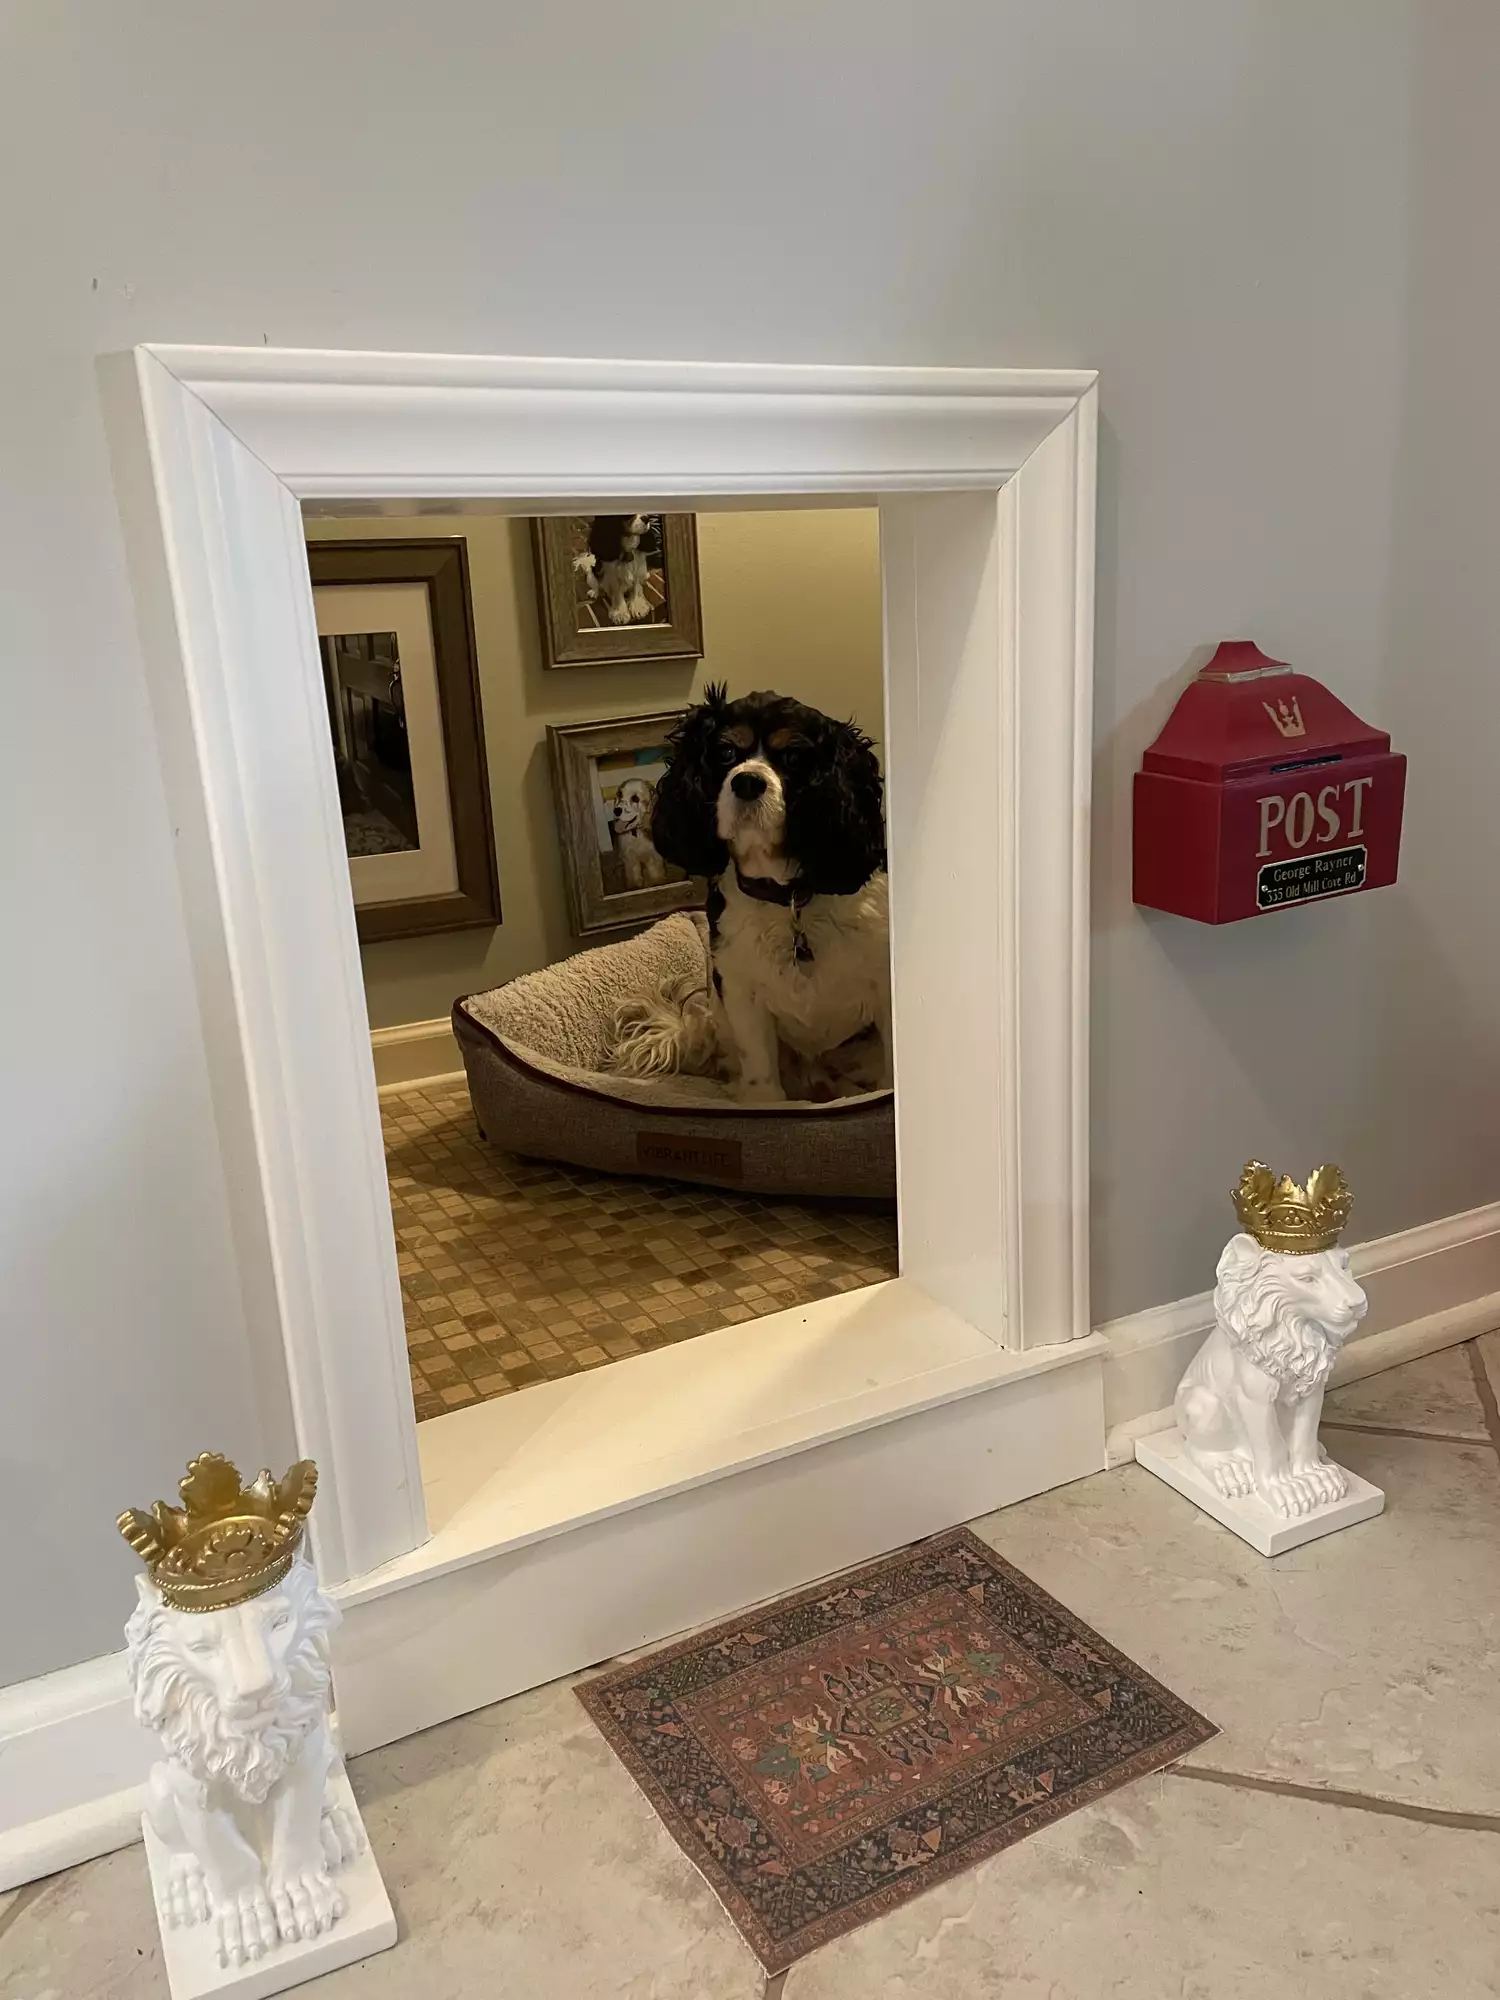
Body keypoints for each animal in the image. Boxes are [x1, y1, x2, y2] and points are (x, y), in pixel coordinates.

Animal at [636, 680, 892, 1104]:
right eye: (725, 752)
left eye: (793, 756)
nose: (746, 781)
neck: (789, 899)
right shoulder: (742, 994)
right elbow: (761, 1077)